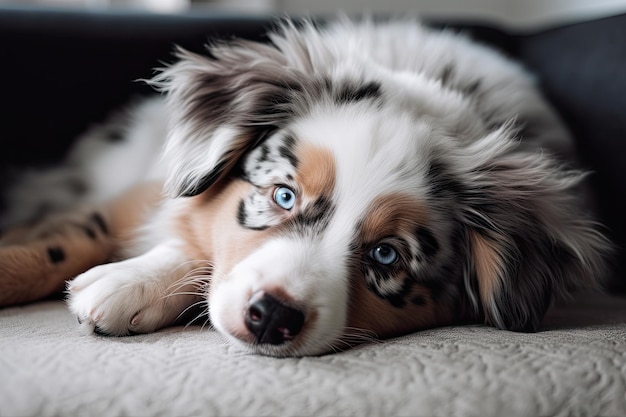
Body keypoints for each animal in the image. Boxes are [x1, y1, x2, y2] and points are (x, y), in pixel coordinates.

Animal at [0, 17, 604, 354]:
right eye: (283, 195)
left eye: (387, 255)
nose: (272, 317)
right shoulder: (137, 195)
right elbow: (67, 241)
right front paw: (126, 277)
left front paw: (130, 286)